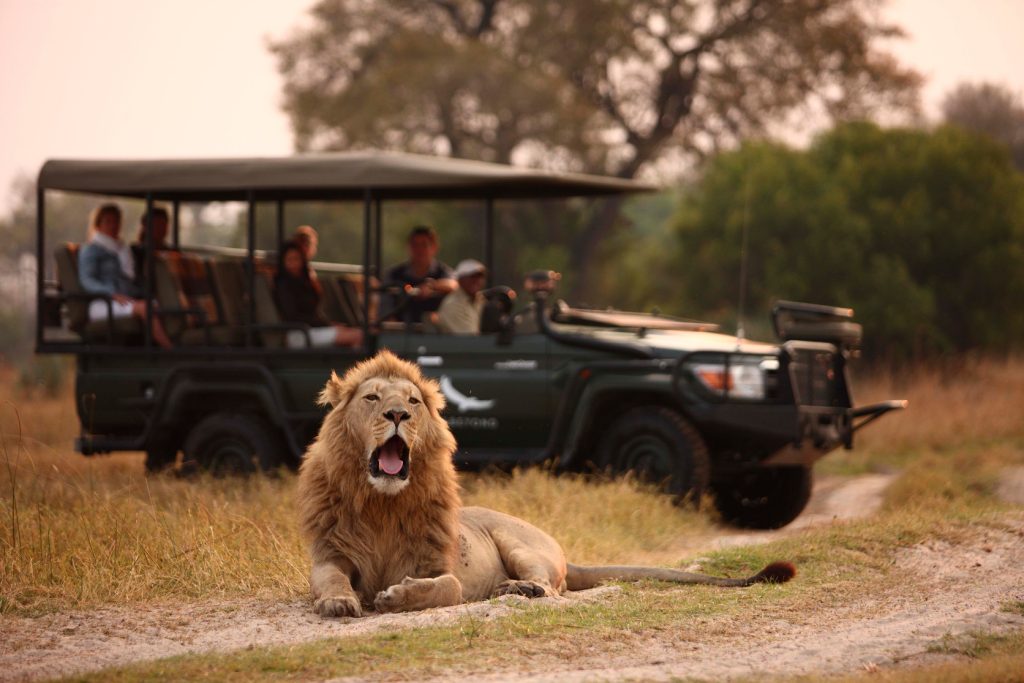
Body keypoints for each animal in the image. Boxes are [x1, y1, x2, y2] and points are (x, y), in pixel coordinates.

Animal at [297, 350, 795, 617]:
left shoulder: (437, 566)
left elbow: (447, 587)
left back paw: (520, 590)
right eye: (372, 397)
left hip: (519, 543)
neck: (382, 504)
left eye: (414, 402)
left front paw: (397, 596)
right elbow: (331, 581)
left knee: (552, 588)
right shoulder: (330, 556)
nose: (397, 414)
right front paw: (340, 603)